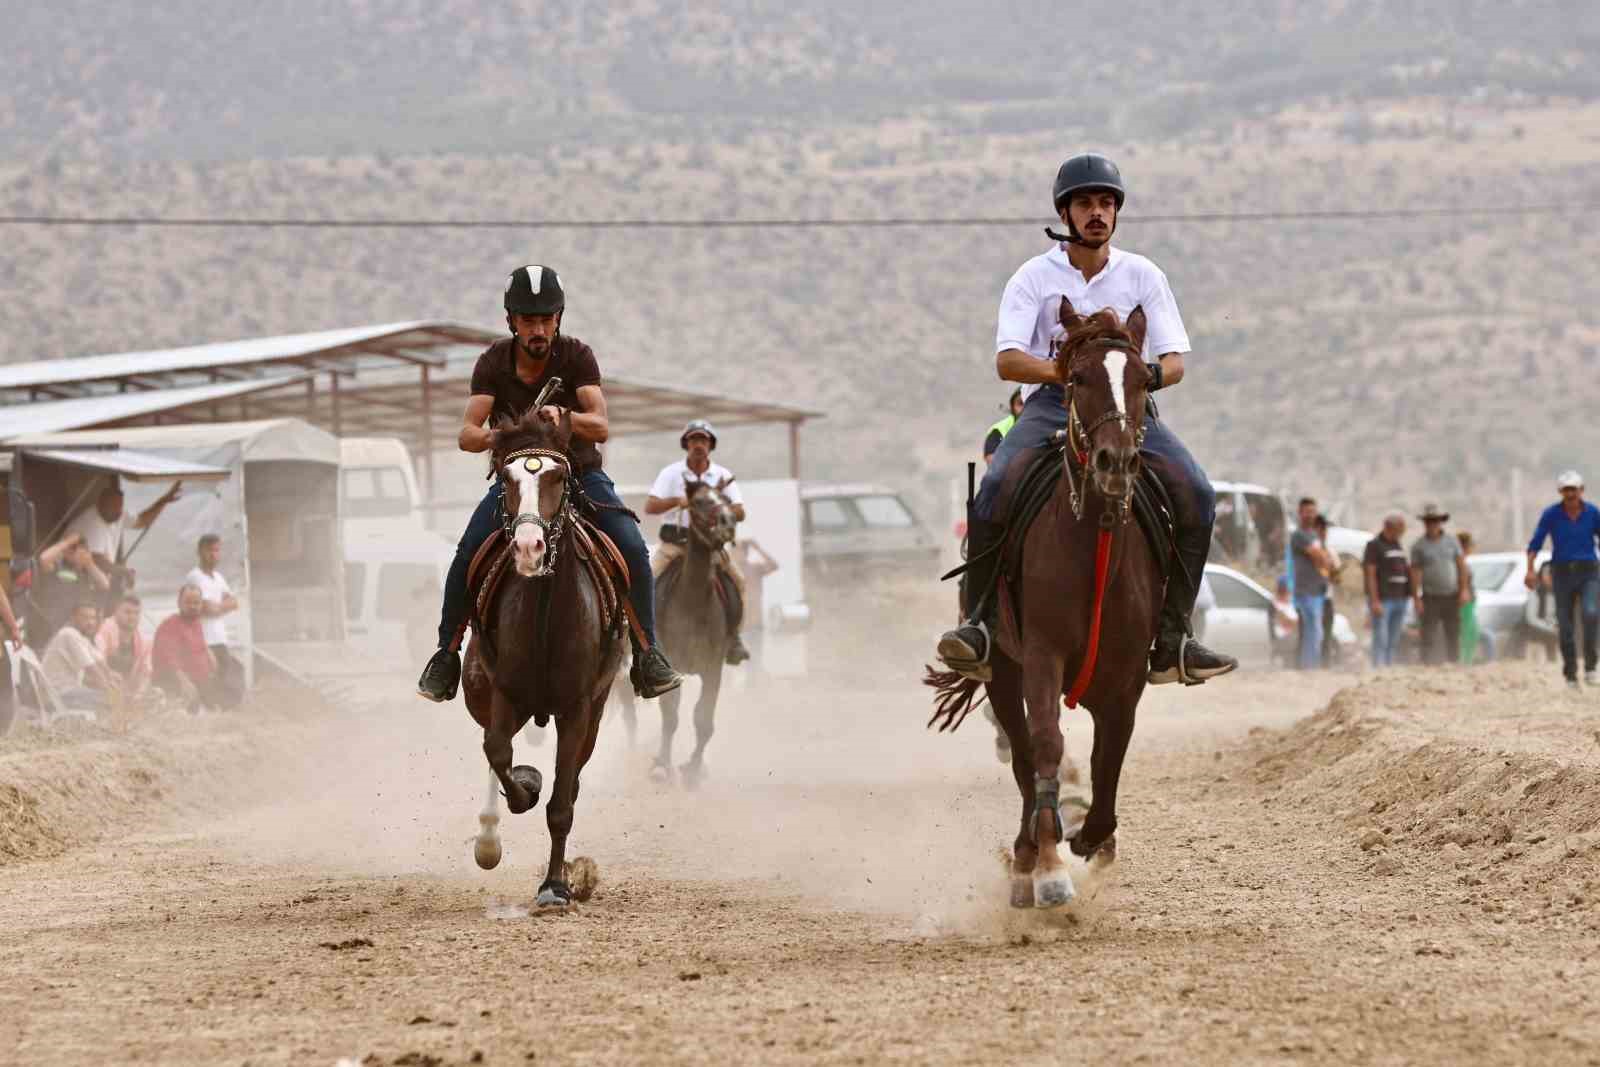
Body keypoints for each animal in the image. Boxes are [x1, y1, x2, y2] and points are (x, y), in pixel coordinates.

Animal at [464, 409, 624, 908]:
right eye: (507, 479)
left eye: (558, 476)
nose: (528, 547)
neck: (546, 616)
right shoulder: (503, 692)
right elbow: (498, 753)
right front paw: (525, 786)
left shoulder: (578, 708)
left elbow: (561, 806)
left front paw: (555, 885)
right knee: (493, 750)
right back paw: (489, 837)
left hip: (595, 711)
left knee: (570, 781)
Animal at [928, 300, 1164, 908]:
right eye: (1076, 378)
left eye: (1143, 379)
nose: (1114, 462)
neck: (1093, 548)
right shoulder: (1039, 657)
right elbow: (1047, 747)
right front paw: (1052, 867)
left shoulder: (1126, 681)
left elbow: (1109, 764)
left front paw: (1093, 838)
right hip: (1002, 672)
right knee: (1023, 754)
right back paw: (1026, 859)